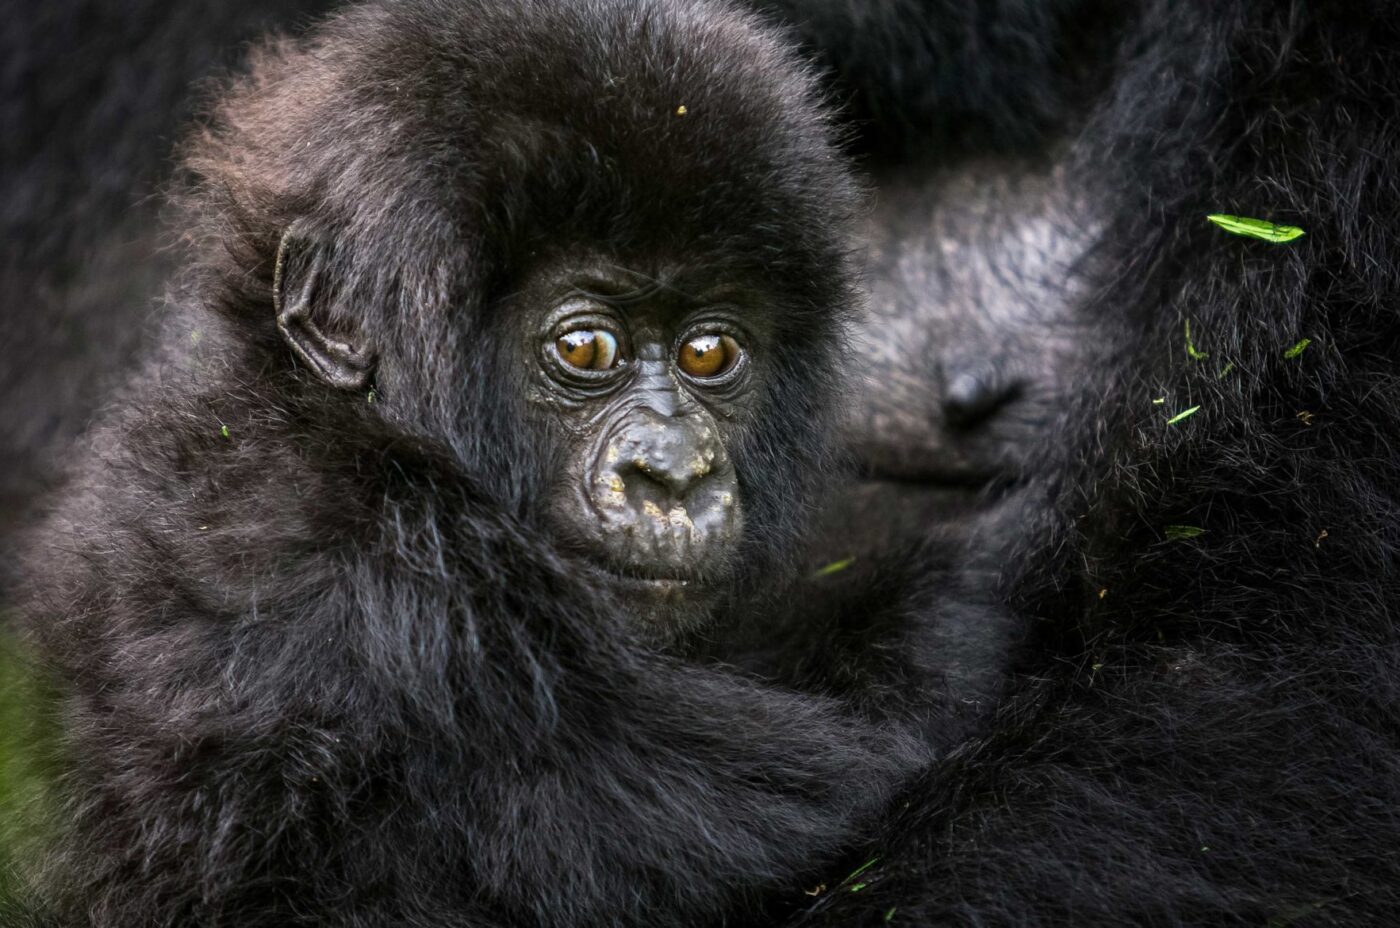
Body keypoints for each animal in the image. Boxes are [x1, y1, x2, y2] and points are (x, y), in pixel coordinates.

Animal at [16, 1, 912, 928]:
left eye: (708, 352)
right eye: (586, 348)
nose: (673, 474)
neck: (329, 417)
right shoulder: (381, 586)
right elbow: (834, 800)